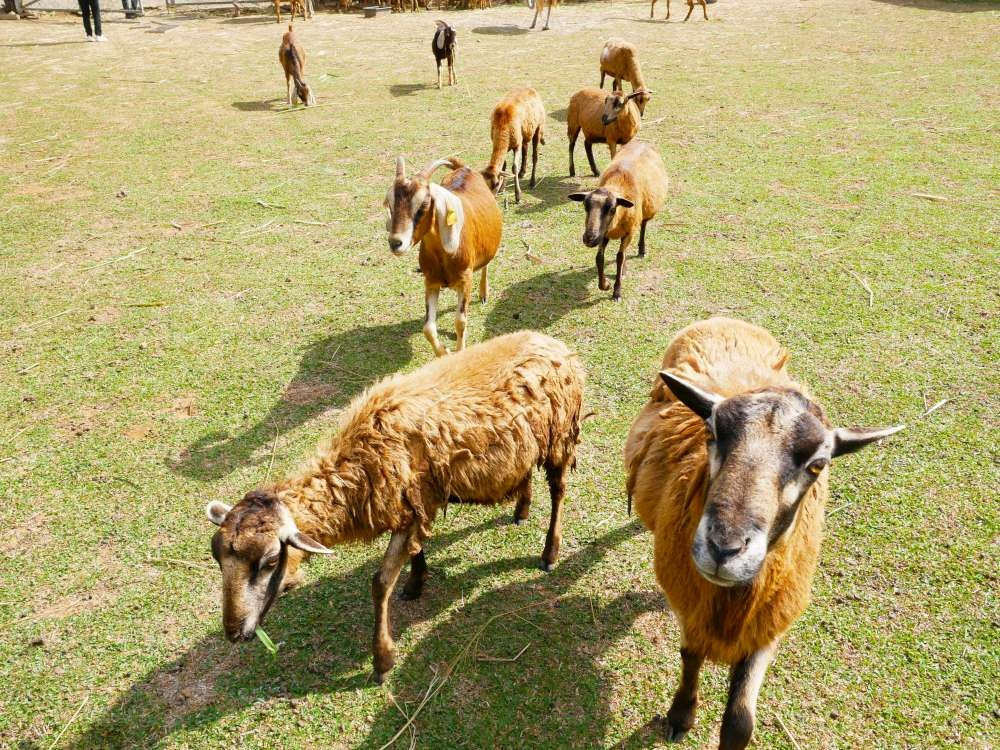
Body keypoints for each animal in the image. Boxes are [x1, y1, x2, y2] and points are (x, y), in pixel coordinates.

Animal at [207, 332, 588, 684]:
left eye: (272, 561)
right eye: (218, 558)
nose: (234, 632)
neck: (359, 460)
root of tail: (554, 343)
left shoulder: (412, 509)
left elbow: (379, 583)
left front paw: (383, 659)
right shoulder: (413, 507)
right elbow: (416, 551)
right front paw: (416, 583)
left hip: (561, 434)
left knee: (558, 492)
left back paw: (550, 552)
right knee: (526, 473)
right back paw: (521, 509)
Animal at [386, 156, 504, 358]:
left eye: (423, 206)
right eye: (391, 206)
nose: (396, 243)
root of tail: (463, 168)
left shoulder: (465, 280)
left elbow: (460, 320)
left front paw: (459, 351)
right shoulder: (431, 282)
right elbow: (427, 328)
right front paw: (444, 353)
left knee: (486, 265)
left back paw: (483, 293)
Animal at [568, 141, 668, 302]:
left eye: (612, 209)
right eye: (585, 205)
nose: (589, 238)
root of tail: (642, 142)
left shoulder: (628, 233)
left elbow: (619, 258)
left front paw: (617, 292)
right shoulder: (604, 234)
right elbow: (599, 258)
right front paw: (605, 285)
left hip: (646, 213)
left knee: (643, 226)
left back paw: (641, 250)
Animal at [620, 318, 904, 750]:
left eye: (818, 464)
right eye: (711, 434)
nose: (724, 548)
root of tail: (726, 319)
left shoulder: (768, 624)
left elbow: (740, 721)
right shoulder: (693, 610)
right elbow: (690, 656)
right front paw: (681, 714)